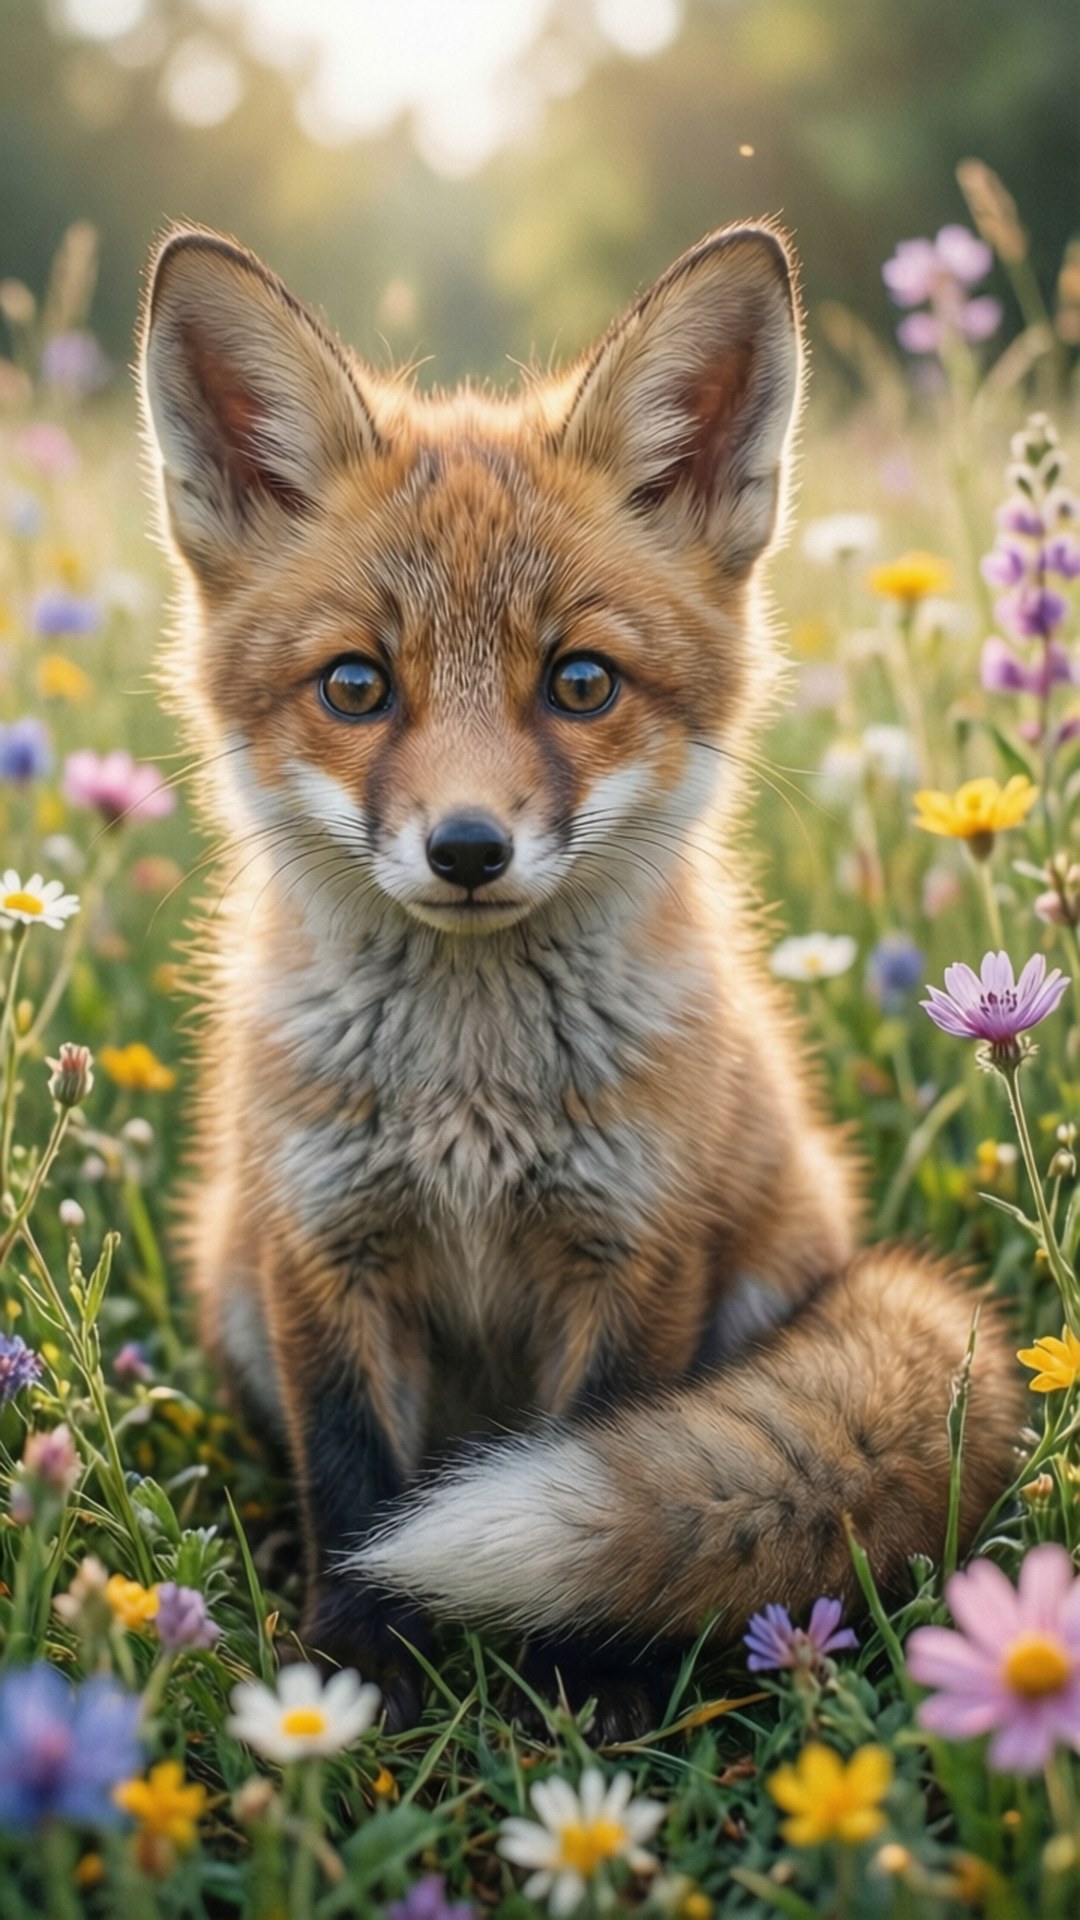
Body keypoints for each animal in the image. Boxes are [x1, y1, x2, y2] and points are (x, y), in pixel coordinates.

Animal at [139, 219, 1023, 1733]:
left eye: (582, 682)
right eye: (357, 686)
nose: (468, 849)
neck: (469, 1104)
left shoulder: (633, 1253)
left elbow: (605, 1459)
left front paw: (583, 1690)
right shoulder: (323, 1249)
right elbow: (353, 1481)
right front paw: (351, 1683)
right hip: (232, 1276)